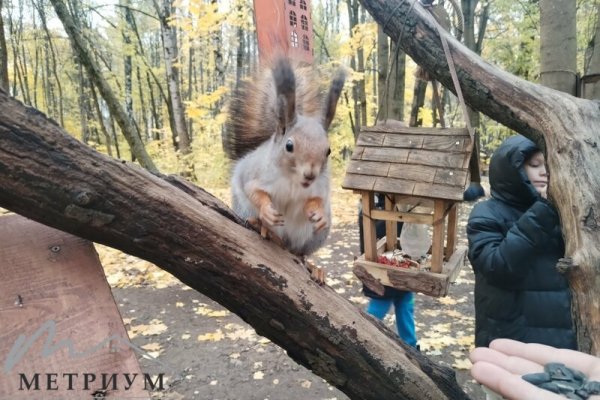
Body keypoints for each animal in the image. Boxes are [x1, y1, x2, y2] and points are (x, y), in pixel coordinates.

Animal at [224, 58, 346, 260]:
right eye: (289, 146)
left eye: (328, 150)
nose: (310, 175)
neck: (293, 181)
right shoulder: (256, 175)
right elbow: (254, 192)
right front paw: (267, 211)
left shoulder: (320, 187)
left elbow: (317, 200)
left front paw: (318, 213)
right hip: (243, 207)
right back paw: (263, 227)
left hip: (315, 237)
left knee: (298, 250)